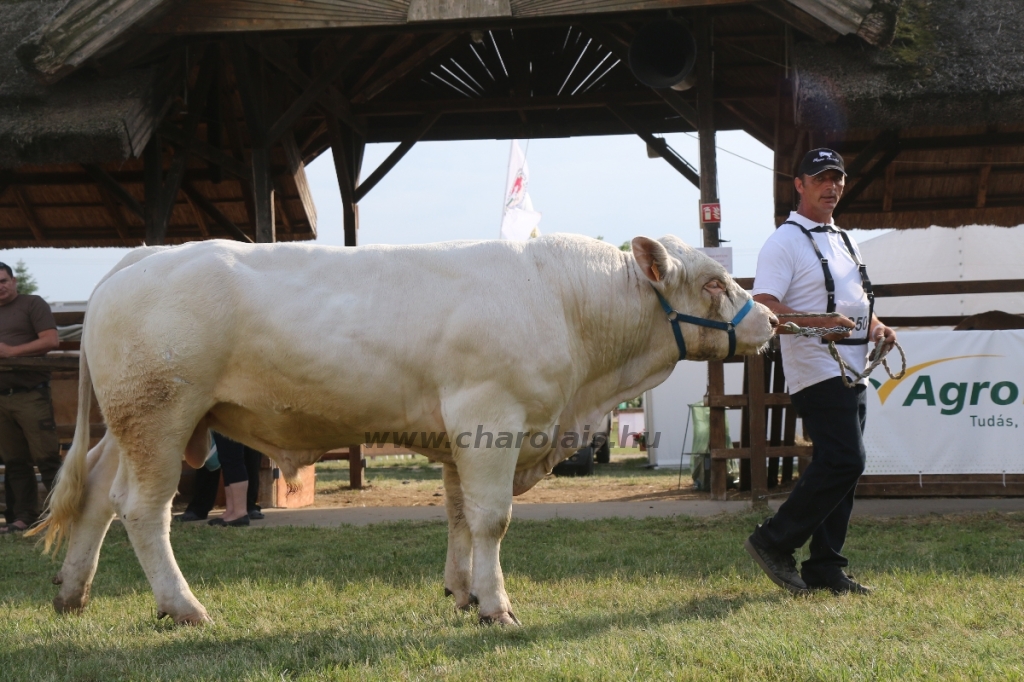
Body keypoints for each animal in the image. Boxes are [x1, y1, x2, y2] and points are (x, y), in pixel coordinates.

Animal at [37, 232, 774, 622]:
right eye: (714, 283)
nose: (770, 320)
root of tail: (144, 255)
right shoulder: (491, 416)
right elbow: (491, 520)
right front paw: (496, 606)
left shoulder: (461, 437)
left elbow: (458, 516)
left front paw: (461, 591)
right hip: (161, 416)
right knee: (143, 509)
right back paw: (183, 606)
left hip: (130, 424)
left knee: (98, 495)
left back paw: (73, 592)